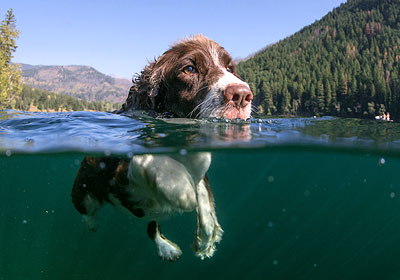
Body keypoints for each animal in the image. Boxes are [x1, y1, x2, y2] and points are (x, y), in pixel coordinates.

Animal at [71, 35, 253, 260]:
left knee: (151, 225)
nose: (242, 95)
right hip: (83, 187)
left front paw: (205, 241)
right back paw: (92, 223)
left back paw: (167, 249)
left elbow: (204, 195)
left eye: (229, 68)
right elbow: (152, 161)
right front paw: (183, 192)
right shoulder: (121, 175)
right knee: (87, 208)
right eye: (189, 69)